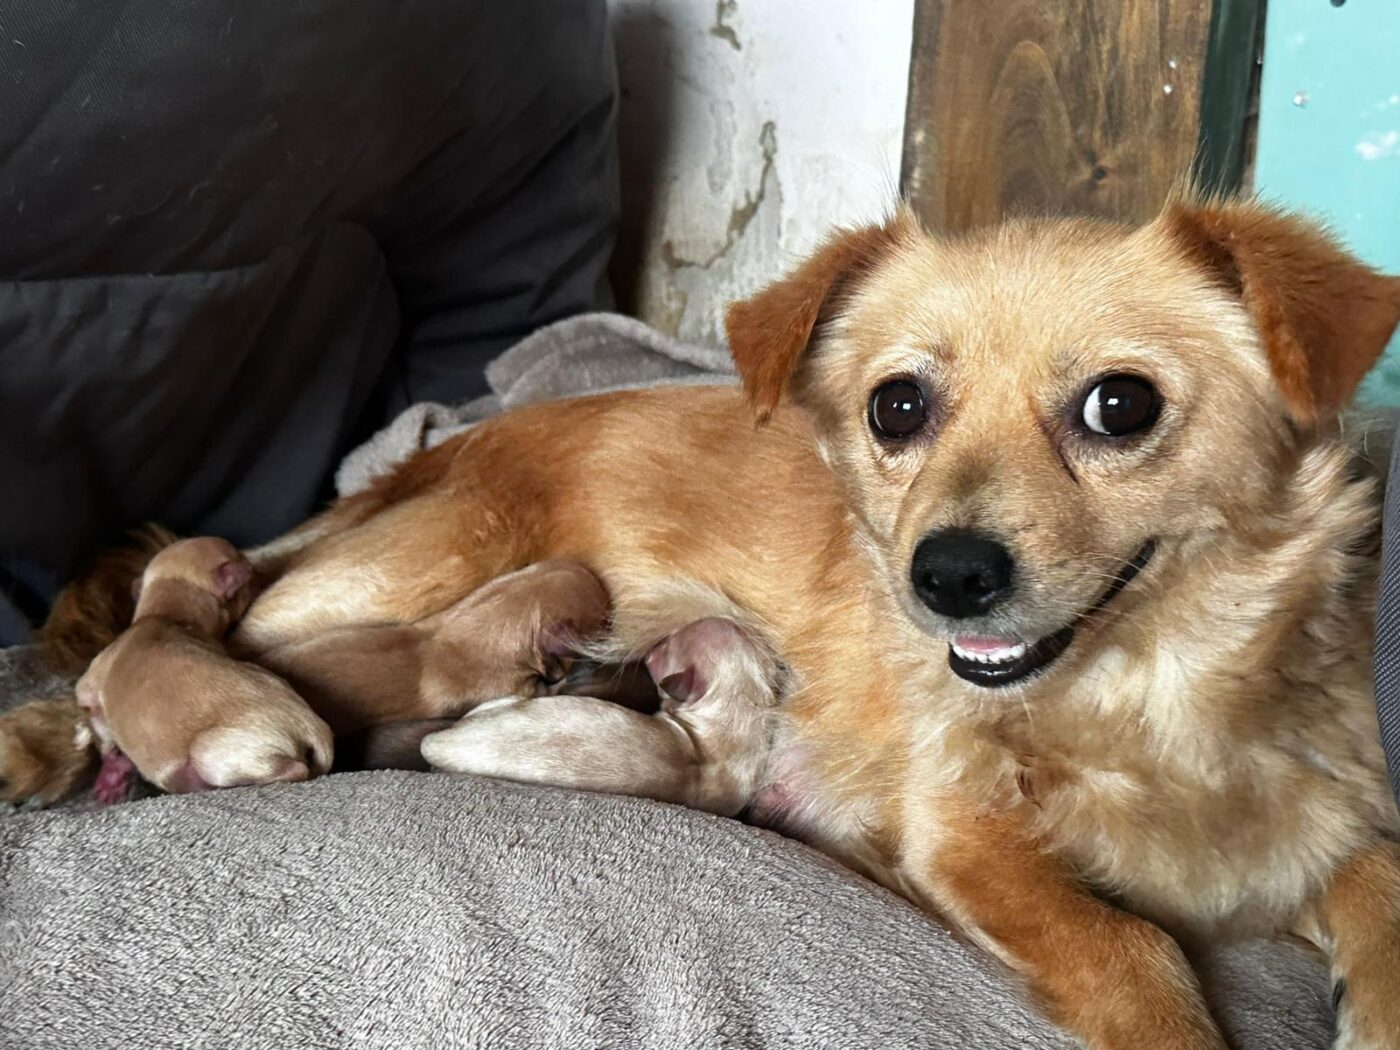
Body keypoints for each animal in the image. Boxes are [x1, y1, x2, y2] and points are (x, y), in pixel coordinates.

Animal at [6, 197, 1400, 1048]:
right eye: (896, 409)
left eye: (1121, 406)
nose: (943, 577)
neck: (1151, 693)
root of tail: (452, 448)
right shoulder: (965, 841)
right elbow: (1132, 951)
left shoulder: (1330, 814)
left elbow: (1373, 886)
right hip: (401, 572)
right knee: (173, 617)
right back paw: (60, 738)